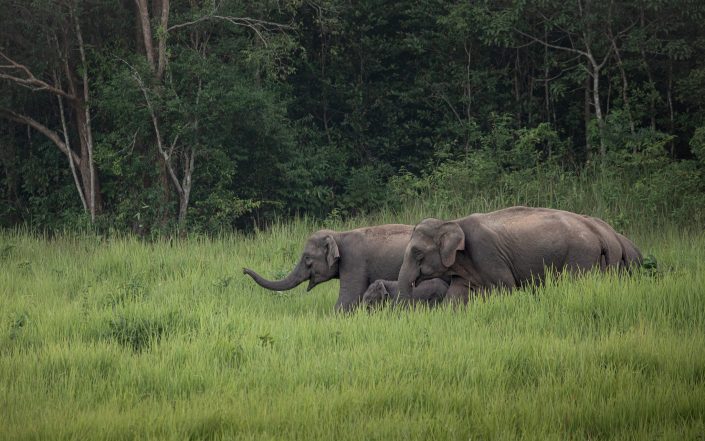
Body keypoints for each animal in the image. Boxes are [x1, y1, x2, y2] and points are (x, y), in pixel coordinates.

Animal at [397, 206, 642, 305]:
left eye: (417, 252)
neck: (454, 221)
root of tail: (598, 232)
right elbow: (456, 295)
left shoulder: (488, 254)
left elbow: (506, 288)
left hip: (580, 255)